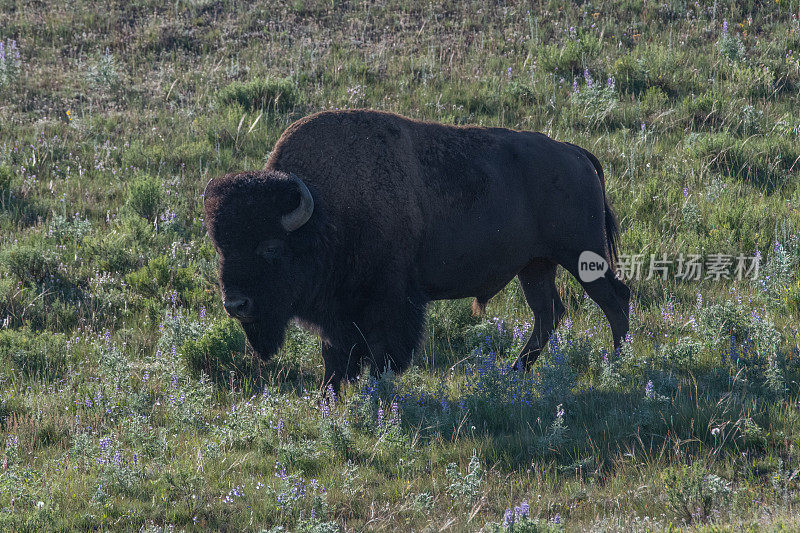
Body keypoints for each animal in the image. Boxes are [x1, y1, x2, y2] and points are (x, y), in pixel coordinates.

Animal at [203, 109, 628, 386]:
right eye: (221, 247)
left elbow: (382, 351)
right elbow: (335, 355)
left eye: (271, 247)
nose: (235, 304)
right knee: (548, 312)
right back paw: (515, 373)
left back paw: (616, 365)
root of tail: (575, 153)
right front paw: (329, 396)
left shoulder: (389, 300)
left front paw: (376, 390)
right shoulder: (337, 313)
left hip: (580, 255)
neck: (325, 209)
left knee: (614, 298)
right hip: (536, 266)